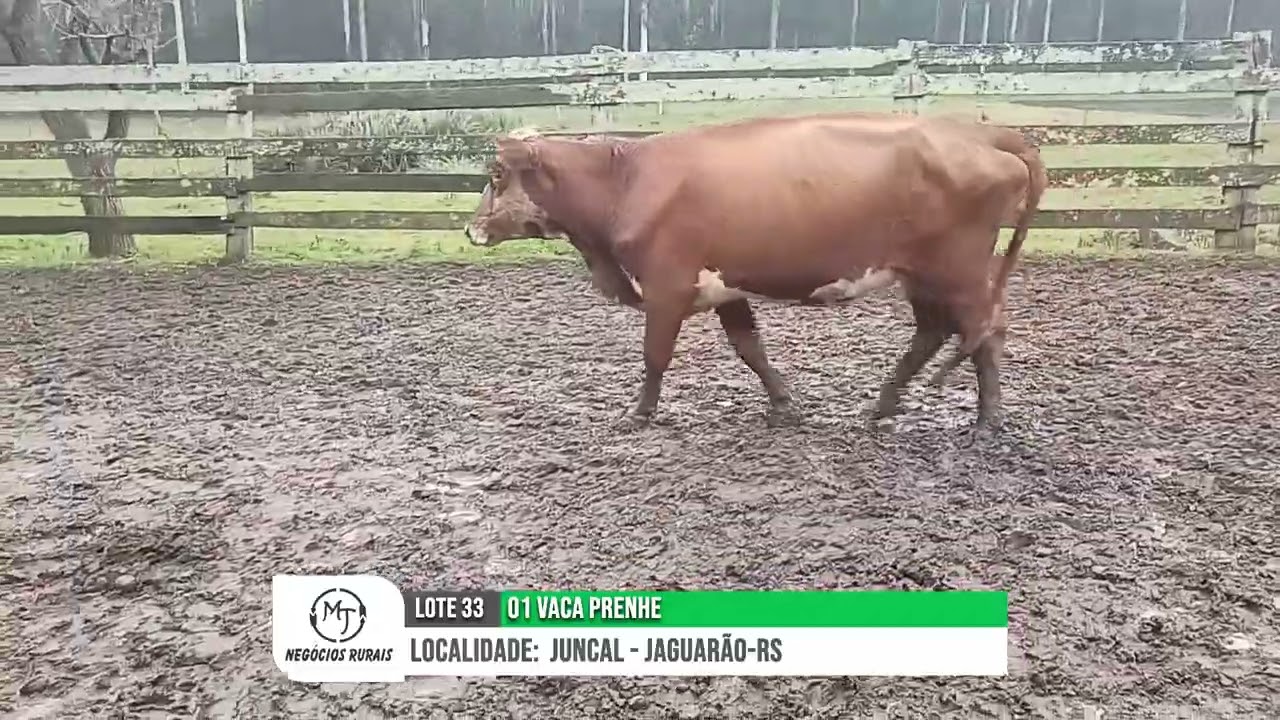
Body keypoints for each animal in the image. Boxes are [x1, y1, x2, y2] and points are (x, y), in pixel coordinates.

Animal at [465, 112, 1046, 439]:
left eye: (496, 173)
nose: (472, 229)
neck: (624, 180)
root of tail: (980, 132)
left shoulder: (666, 286)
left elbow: (655, 355)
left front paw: (639, 414)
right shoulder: (727, 285)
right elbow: (750, 348)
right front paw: (784, 405)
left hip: (960, 270)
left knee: (986, 331)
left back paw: (988, 420)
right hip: (920, 272)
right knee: (933, 332)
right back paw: (883, 407)